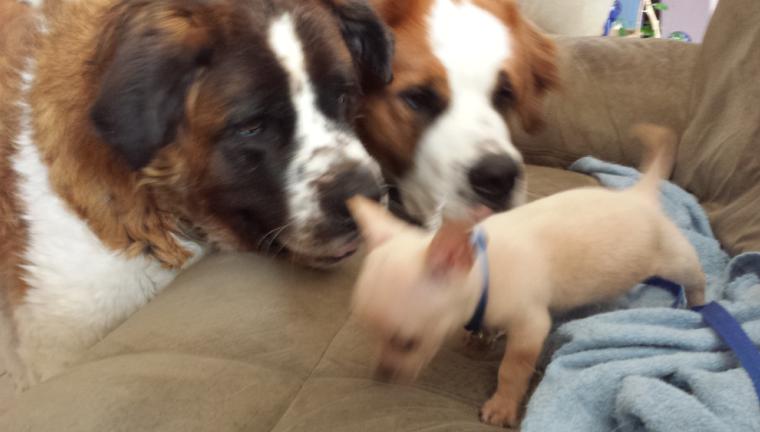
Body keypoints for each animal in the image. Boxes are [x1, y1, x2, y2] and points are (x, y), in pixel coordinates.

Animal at [347, 124, 706, 427]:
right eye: (372, 335)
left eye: (408, 343)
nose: (382, 374)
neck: (483, 270)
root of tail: (638, 193)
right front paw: (479, 339)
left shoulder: (530, 328)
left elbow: (511, 371)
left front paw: (502, 406)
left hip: (675, 258)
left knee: (697, 278)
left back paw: (698, 304)